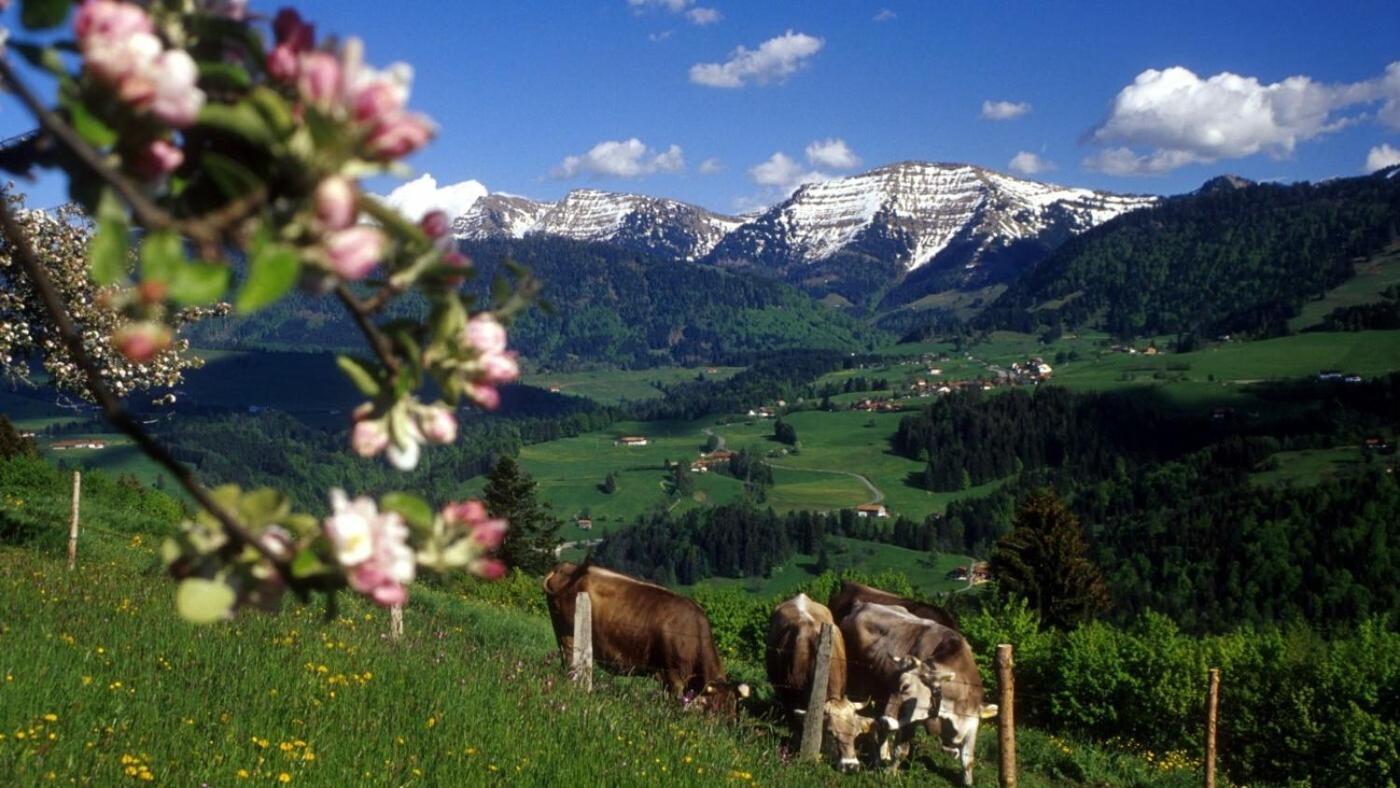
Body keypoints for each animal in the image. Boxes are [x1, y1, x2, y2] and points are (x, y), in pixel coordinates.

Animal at [540, 559, 750, 716]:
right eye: (715, 710)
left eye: (733, 712)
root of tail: (567, 566)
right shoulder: (673, 676)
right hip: (569, 634)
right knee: (571, 663)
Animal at [840, 604, 996, 783]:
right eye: (896, 684)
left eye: (905, 687)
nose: (887, 721)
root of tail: (861, 605)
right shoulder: (911, 719)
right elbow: (901, 750)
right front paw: (889, 774)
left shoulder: (971, 721)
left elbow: (968, 760)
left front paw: (968, 782)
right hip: (859, 685)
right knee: (870, 724)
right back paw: (877, 759)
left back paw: (883, 753)